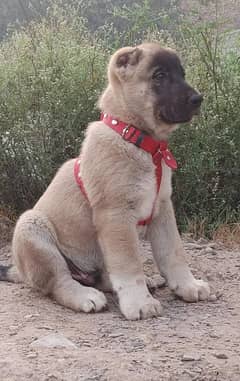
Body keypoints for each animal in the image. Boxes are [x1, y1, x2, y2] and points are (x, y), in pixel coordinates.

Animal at [0, 43, 210, 320]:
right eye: (159, 76)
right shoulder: (116, 216)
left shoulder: (162, 209)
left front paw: (188, 286)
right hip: (31, 227)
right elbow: (129, 264)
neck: (140, 142)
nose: (198, 99)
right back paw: (84, 296)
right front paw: (139, 302)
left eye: (182, 74)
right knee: (60, 281)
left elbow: (174, 253)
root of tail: (20, 271)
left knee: (104, 277)